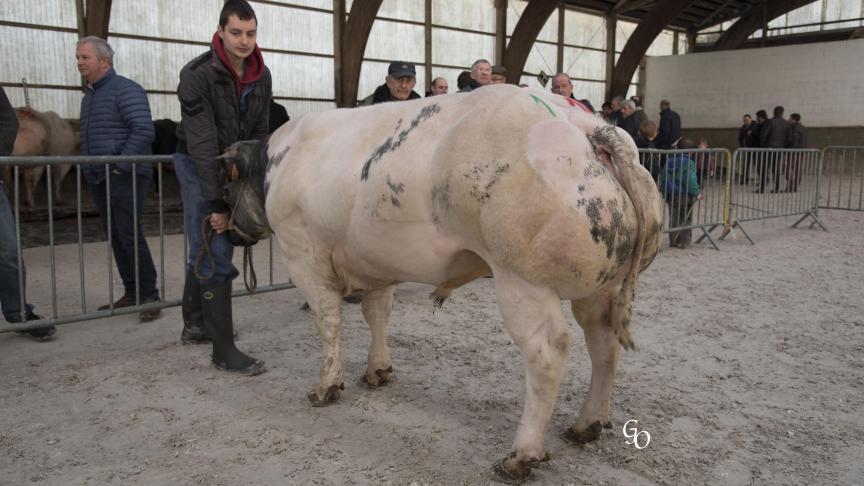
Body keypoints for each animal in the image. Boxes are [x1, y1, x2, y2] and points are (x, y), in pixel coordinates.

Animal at [221, 85, 660, 484]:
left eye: (226, 185)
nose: (229, 229)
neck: (280, 161)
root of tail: (587, 127)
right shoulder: (375, 257)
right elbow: (377, 313)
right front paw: (378, 370)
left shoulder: (302, 253)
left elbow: (328, 321)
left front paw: (326, 386)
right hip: (601, 288)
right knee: (603, 345)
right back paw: (587, 424)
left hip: (521, 280)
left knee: (547, 353)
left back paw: (520, 456)